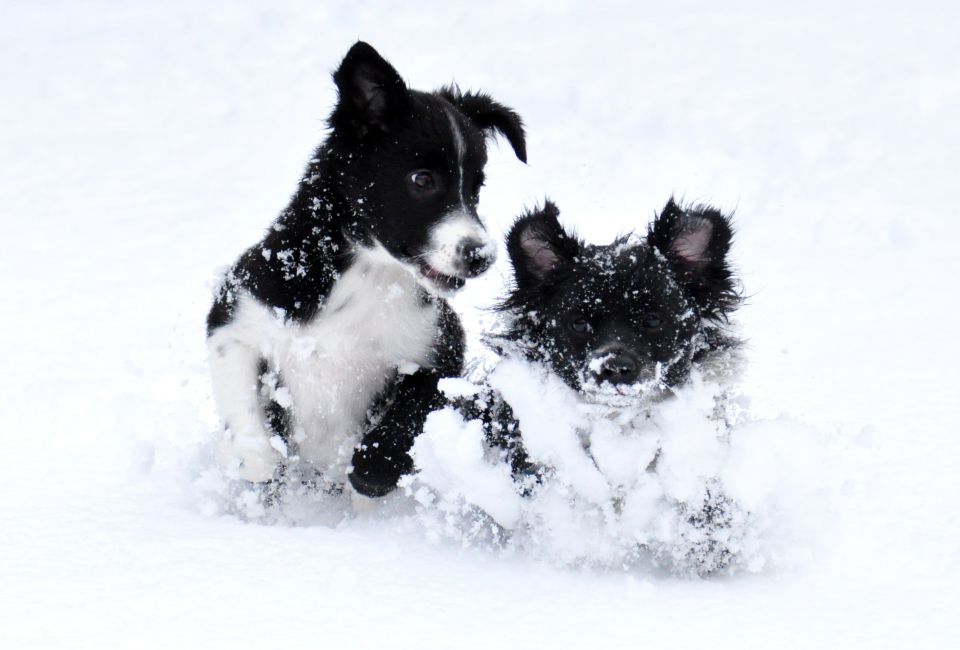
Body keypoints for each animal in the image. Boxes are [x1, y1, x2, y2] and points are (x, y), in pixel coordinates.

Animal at [205, 41, 528, 496]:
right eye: (422, 179)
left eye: (476, 188)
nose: (481, 256)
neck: (367, 274)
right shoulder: (237, 310)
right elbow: (240, 398)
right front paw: (257, 461)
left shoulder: (440, 349)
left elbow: (408, 416)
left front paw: (372, 469)